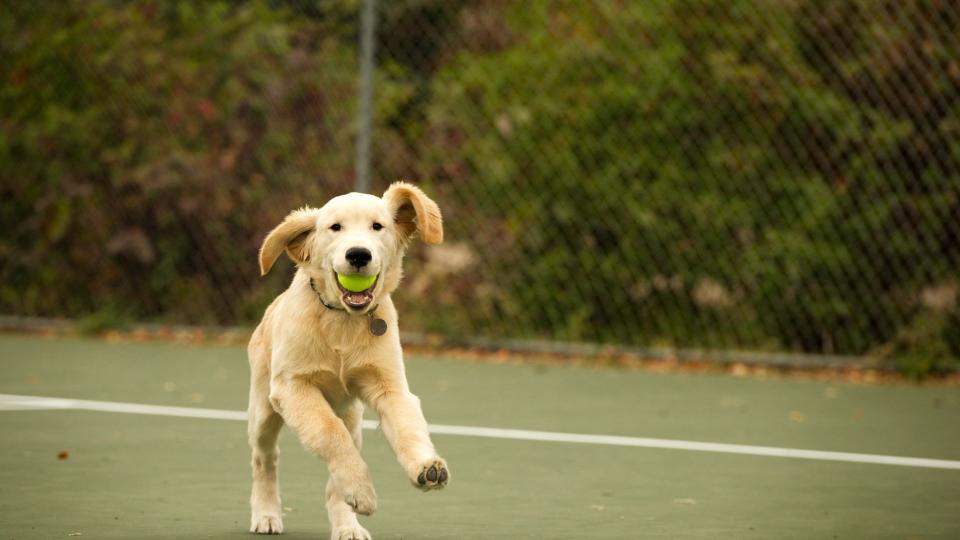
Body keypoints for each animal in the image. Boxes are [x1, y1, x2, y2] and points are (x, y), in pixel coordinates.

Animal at [251, 182, 454, 540]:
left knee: (336, 476)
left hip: (352, 416)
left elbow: (408, 427)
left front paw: (426, 466)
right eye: (335, 228)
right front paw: (362, 490)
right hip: (264, 410)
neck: (342, 321)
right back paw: (266, 514)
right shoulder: (293, 387)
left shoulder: (389, 387)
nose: (358, 255)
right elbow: (330, 433)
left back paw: (347, 526)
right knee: (266, 458)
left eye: (377, 226)